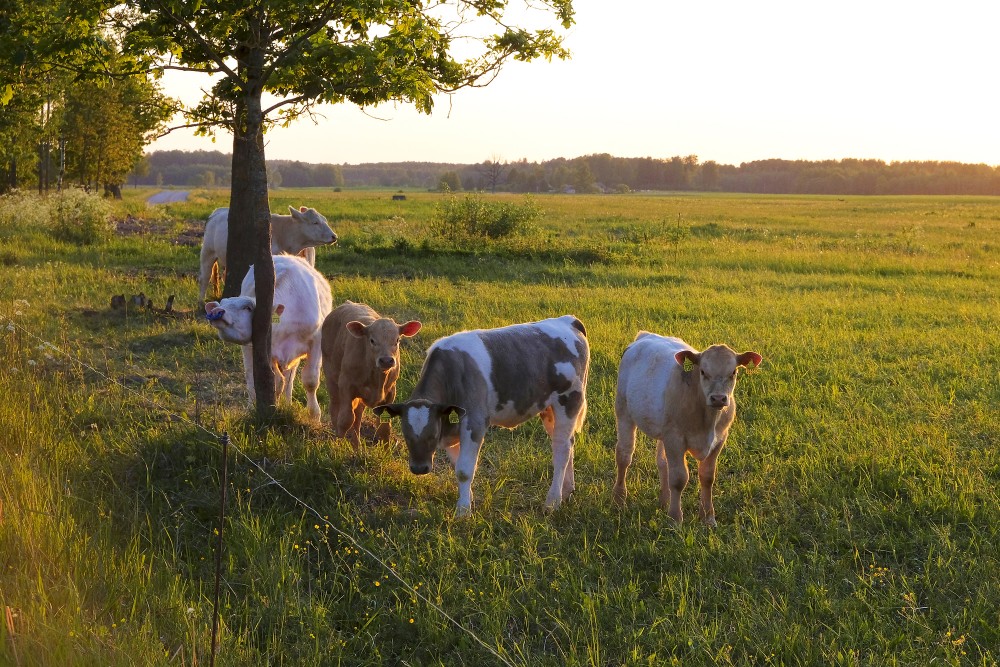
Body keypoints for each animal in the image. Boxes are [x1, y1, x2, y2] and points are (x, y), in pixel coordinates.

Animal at [205, 253, 334, 420]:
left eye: (247, 307)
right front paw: (274, 407)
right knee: (252, 376)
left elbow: (310, 380)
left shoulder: (317, 341)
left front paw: (314, 415)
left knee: (290, 377)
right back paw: (253, 406)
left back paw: (288, 403)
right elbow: (276, 381)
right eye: (223, 303)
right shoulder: (266, 347)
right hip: (250, 350)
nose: (216, 311)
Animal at [322, 302, 420, 448]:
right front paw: (339, 437)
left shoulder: (390, 392)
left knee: (357, 416)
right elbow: (346, 418)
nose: (386, 360)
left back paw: (357, 447)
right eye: (372, 340)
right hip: (331, 377)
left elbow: (384, 427)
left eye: (397, 340)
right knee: (335, 407)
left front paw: (385, 449)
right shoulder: (345, 385)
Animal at [374, 316, 584, 520]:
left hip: (569, 400)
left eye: (432, 435)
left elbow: (464, 470)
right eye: (406, 435)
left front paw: (463, 511)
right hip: (548, 409)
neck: (452, 371)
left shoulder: (474, 421)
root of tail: (568, 320)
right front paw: (468, 499)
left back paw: (553, 501)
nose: (419, 468)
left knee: (561, 450)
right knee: (568, 443)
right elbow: (457, 465)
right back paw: (566, 491)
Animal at [608, 334, 764, 528]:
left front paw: (708, 518)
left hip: (663, 430)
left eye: (733, 372)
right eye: (703, 371)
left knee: (662, 462)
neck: (707, 420)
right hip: (623, 411)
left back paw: (665, 501)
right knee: (624, 455)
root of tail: (645, 335)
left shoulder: (719, 439)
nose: (718, 398)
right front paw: (675, 519)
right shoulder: (675, 438)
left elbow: (707, 477)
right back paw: (619, 500)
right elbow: (679, 478)